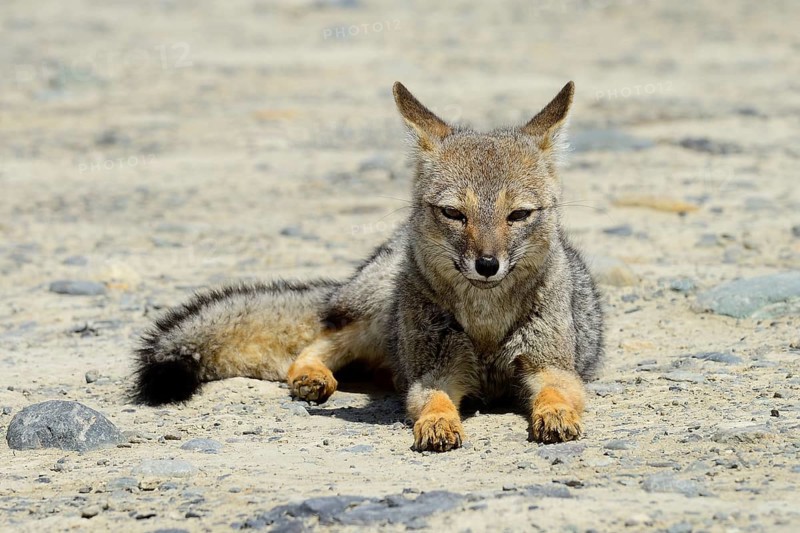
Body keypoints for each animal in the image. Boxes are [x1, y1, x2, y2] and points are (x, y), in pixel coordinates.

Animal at [133, 81, 604, 452]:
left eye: (518, 215)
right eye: (454, 214)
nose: (487, 264)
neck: (485, 324)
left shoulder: (551, 366)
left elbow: (558, 394)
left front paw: (556, 416)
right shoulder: (437, 371)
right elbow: (433, 398)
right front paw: (437, 423)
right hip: (376, 312)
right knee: (316, 343)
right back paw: (312, 377)